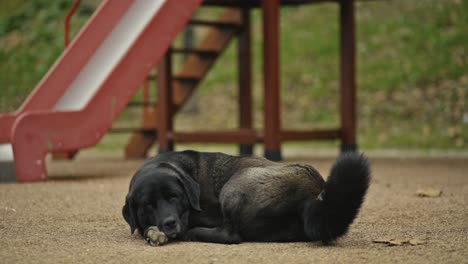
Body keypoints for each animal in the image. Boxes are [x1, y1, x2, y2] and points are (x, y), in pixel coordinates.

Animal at [122, 151, 372, 243]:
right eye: (148, 205)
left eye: (175, 197)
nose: (169, 223)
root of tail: (313, 196)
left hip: (233, 187)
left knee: (230, 235)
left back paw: (191, 233)